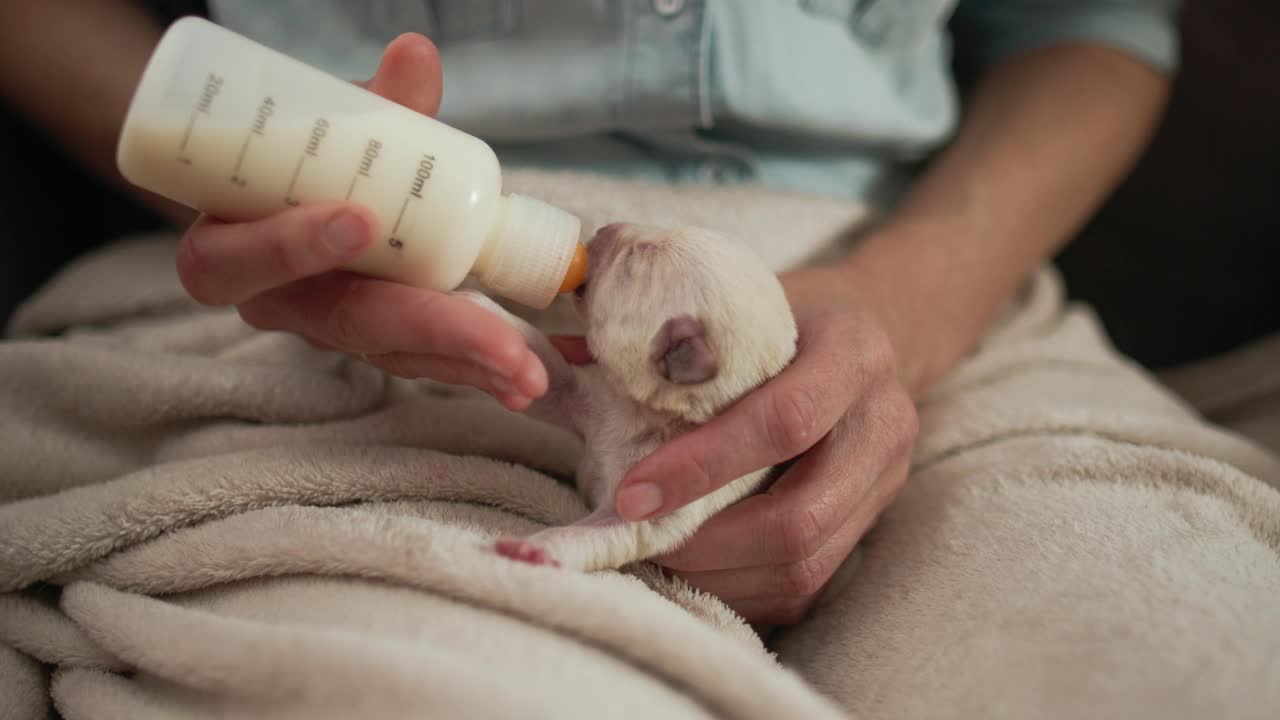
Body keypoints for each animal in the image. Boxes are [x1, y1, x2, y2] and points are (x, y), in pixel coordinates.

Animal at [465, 221, 793, 568]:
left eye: (632, 260)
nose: (603, 228)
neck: (647, 414)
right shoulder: (596, 399)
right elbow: (553, 380)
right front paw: (484, 312)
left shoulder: (654, 505)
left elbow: (609, 532)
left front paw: (534, 548)